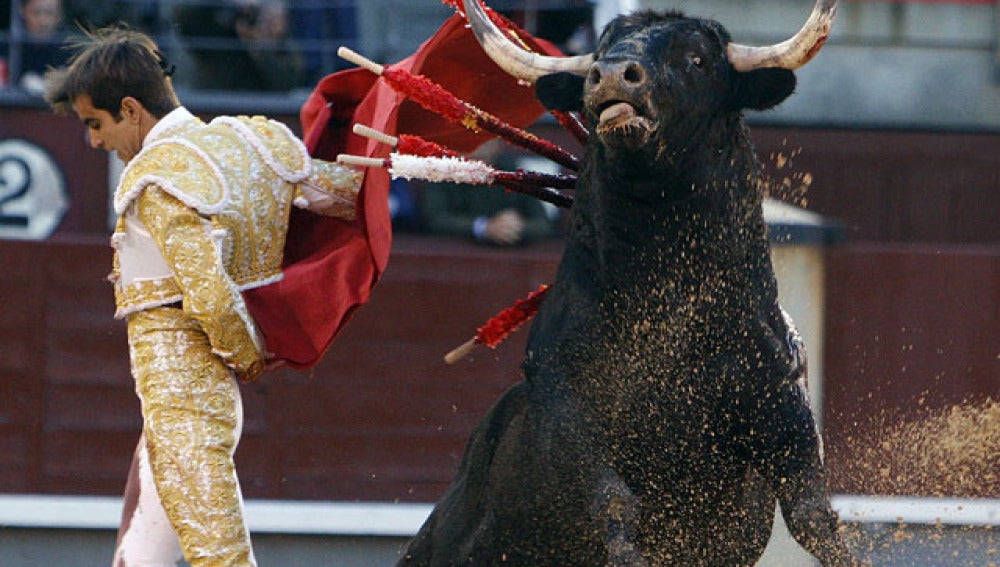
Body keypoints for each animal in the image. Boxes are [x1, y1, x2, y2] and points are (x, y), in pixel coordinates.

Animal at [398, 5, 860, 567]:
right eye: (599, 53)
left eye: (697, 59)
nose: (614, 74)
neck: (667, 315)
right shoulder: (569, 413)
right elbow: (614, 506)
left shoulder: (782, 405)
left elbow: (815, 516)